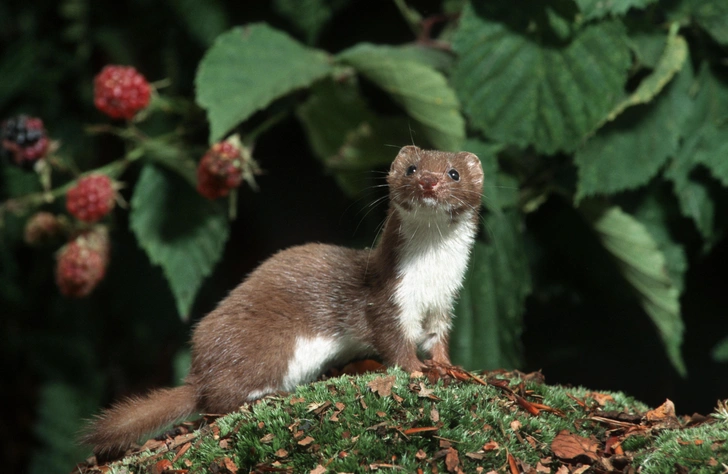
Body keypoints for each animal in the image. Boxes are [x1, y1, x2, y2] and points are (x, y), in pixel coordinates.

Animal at [82, 145, 484, 460]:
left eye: (454, 173)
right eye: (412, 168)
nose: (428, 181)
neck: (430, 278)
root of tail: (199, 370)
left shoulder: (444, 305)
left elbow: (438, 341)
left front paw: (451, 368)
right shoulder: (388, 301)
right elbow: (395, 345)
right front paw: (419, 370)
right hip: (267, 346)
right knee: (218, 400)